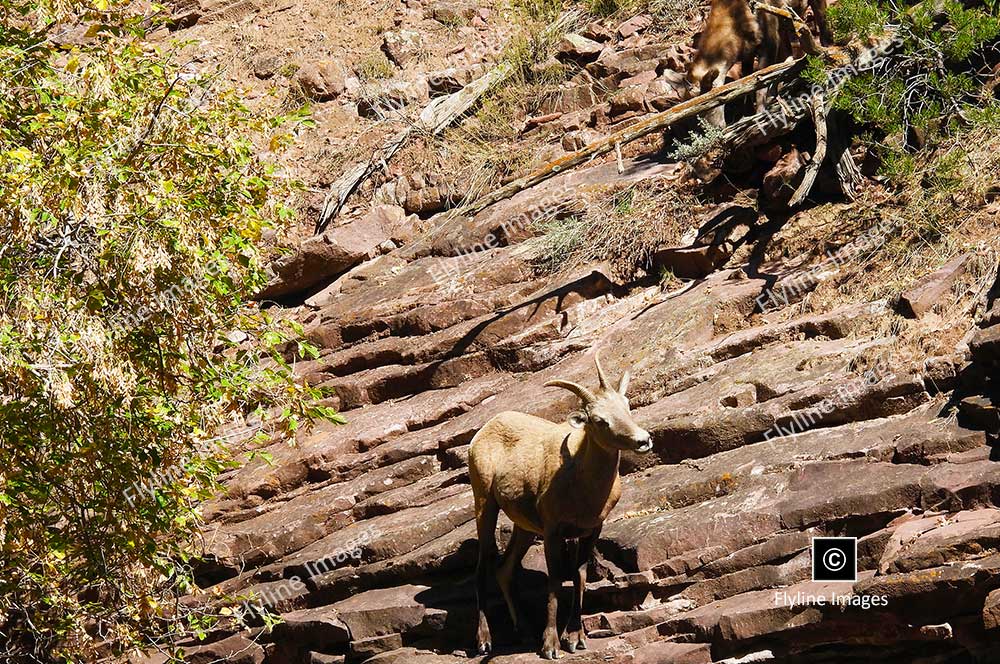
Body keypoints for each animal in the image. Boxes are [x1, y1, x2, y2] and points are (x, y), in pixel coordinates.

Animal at [470, 356, 656, 656]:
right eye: (599, 421)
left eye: (626, 406)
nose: (643, 440)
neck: (579, 480)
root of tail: (484, 431)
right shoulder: (552, 532)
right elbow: (555, 582)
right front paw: (551, 646)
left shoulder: (590, 530)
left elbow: (579, 578)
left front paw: (576, 639)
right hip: (485, 504)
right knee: (482, 567)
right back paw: (485, 642)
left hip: (524, 527)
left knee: (504, 570)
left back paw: (524, 631)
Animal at [688, 0, 836, 126]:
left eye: (716, 99)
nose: (715, 129)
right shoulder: (748, 53)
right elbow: (747, 82)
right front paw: (747, 112)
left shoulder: (769, 43)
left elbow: (761, 82)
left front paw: (760, 113)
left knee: (824, 27)